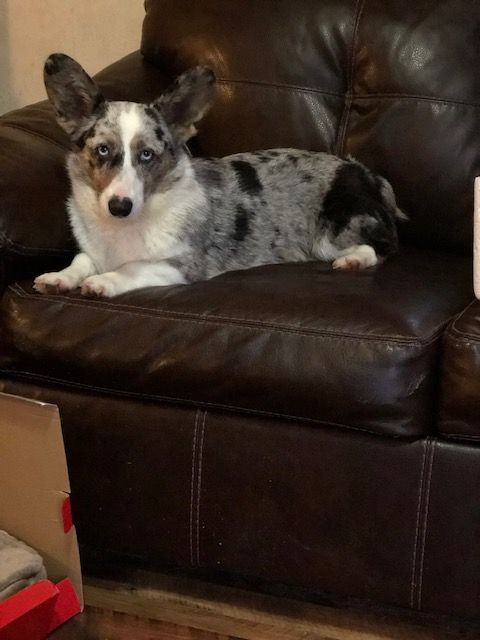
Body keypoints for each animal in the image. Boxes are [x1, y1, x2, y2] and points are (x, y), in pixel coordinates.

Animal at [34, 53, 406, 298]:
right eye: (102, 150)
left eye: (147, 154)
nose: (120, 206)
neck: (122, 229)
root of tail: (365, 172)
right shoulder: (93, 252)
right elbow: (81, 260)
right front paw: (59, 277)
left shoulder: (182, 264)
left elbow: (131, 268)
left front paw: (102, 282)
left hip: (332, 232)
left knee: (383, 246)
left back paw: (353, 260)